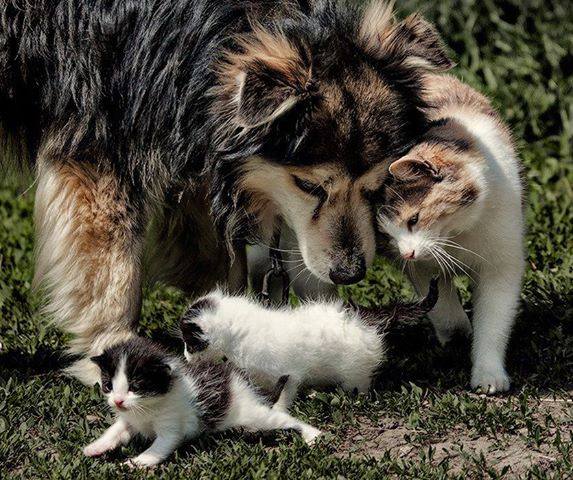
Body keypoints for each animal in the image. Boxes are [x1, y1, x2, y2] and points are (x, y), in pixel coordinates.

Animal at [1, 0, 452, 382]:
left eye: (376, 187)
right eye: (308, 185)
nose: (350, 273)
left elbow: (217, 255)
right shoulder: (96, 145)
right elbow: (114, 269)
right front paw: (116, 349)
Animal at [83, 336, 322, 466]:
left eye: (135, 387)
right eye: (108, 386)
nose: (118, 401)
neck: (146, 409)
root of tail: (238, 382)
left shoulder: (172, 425)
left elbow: (159, 447)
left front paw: (135, 463)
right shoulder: (130, 419)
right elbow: (115, 430)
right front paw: (95, 447)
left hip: (254, 416)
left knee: (284, 419)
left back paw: (314, 435)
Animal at [181, 282, 436, 412]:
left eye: (188, 344)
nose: (184, 356)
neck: (239, 339)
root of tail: (366, 319)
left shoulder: (288, 373)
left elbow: (284, 394)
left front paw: (278, 412)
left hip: (354, 372)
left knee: (358, 387)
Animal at [378, 73, 524, 392]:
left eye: (414, 219)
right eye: (386, 235)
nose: (407, 252)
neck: (458, 235)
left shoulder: (501, 264)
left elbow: (493, 321)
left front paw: (488, 374)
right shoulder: (421, 269)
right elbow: (443, 310)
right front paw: (457, 336)